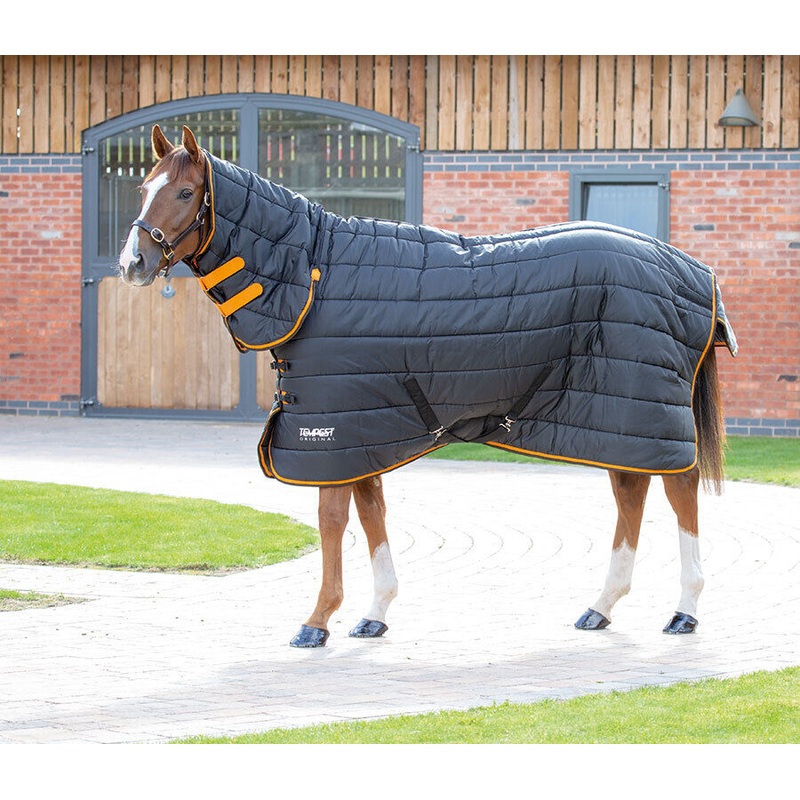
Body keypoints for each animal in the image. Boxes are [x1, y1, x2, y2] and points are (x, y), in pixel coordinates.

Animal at [118, 124, 736, 648]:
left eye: (184, 192)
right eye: (144, 186)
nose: (132, 263)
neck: (315, 276)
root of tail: (691, 270)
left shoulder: (332, 431)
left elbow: (332, 521)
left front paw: (317, 621)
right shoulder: (364, 430)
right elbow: (372, 512)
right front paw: (374, 614)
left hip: (650, 411)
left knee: (681, 492)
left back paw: (684, 611)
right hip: (614, 418)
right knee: (632, 492)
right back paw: (601, 606)